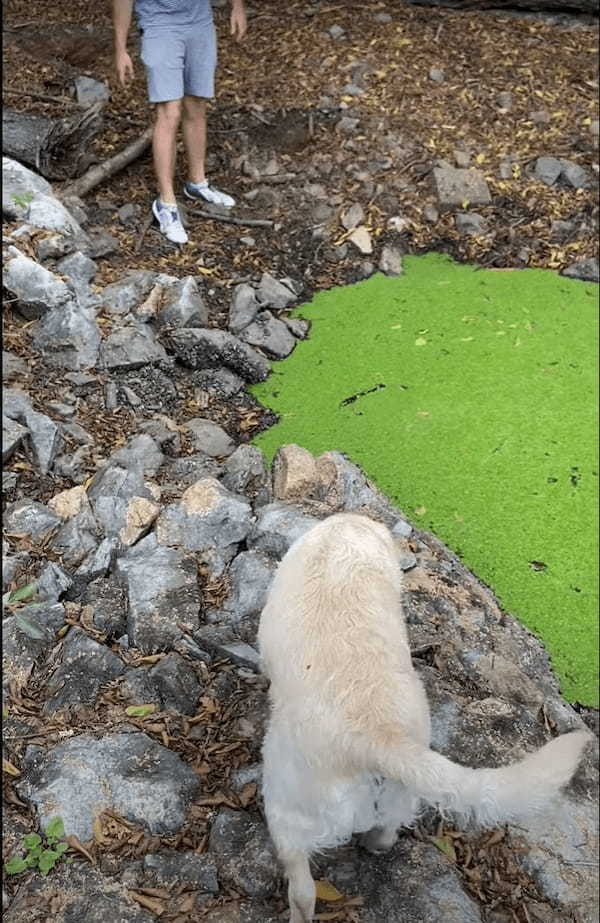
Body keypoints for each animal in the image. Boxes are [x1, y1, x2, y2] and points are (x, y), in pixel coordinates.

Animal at [258, 512, 592, 923]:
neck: (342, 544)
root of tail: (382, 739)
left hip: (286, 803)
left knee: (303, 889)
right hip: (402, 790)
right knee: (391, 826)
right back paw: (377, 844)